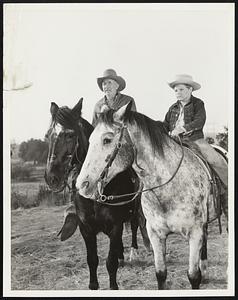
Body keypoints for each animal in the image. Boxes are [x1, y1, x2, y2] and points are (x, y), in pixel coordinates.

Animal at [44, 99, 149, 290]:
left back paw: (133, 253)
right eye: (49, 135)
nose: (51, 177)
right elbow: (92, 260)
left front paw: (114, 285)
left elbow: (110, 263)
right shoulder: (86, 228)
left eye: (70, 135)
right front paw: (93, 284)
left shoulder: (115, 226)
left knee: (134, 226)